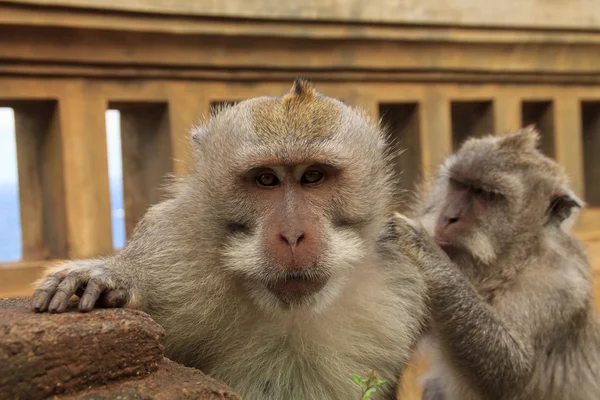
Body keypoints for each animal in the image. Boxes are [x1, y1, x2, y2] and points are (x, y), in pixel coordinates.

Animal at [30, 78, 428, 400]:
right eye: (266, 179)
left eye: (313, 176)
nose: (292, 235)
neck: (290, 312)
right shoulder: (174, 246)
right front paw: (113, 277)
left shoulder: (401, 270)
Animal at [390, 127, 600, 400]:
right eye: (460, 185)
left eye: (485, 195)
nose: (449, 217)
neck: (513, 262)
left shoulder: (557, 285)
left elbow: (512, 371)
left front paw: (424, 249)